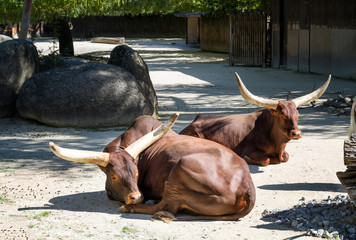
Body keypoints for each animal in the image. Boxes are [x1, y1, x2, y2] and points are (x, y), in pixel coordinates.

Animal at [49, 114, 256, 221]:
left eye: (137, 172)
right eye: (114, 176)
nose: (136, 196)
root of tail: (247, 184)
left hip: (180, 168)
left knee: (166, 206)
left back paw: (131, 208)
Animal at [181, 73, 330, 167]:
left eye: (298, 115)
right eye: (282, 115)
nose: (297, 133)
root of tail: (196, 119)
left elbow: (286, 157)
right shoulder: (249, 149)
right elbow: (266, 160)